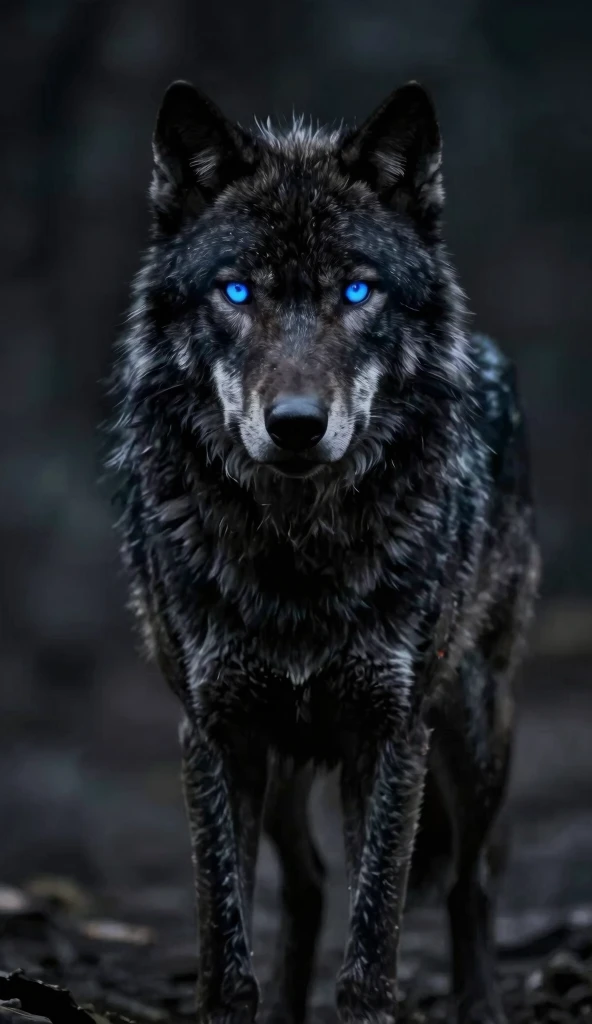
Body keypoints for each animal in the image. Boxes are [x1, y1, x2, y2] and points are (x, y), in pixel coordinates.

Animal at [109, 78, 540, 1024]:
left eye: (356, 290)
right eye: (236, 291)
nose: (297, 425)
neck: (296, 553)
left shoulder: (391, 735)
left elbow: (372, 945)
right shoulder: (217, 733)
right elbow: (224, 946)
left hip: (473, 731)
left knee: (473, 881)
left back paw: (481, 1001)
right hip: (286, 764)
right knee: (305, 884)